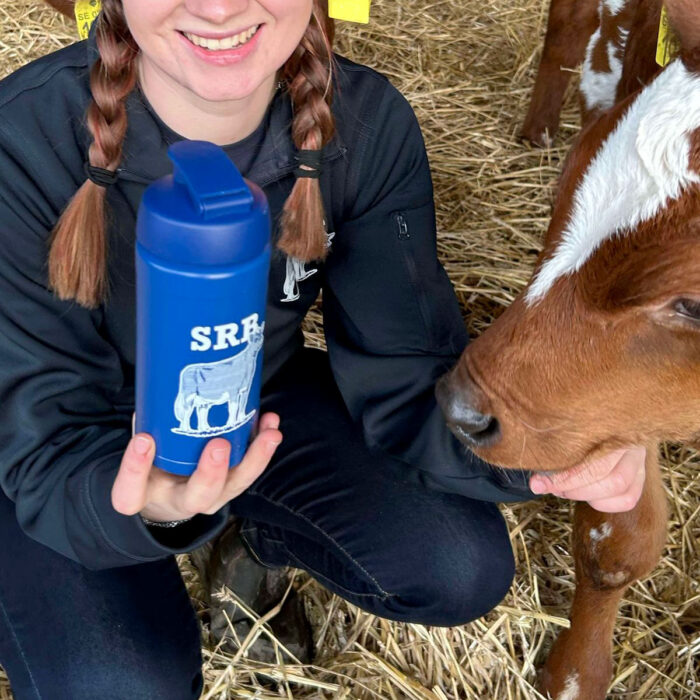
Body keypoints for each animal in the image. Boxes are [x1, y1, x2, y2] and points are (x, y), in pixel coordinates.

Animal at [440, 1, 696, 700]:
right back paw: (537, 126)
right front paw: (576, 675)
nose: (460, 410)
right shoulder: (611, 412)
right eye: (565, 184)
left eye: (693, 303)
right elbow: (615, 544)